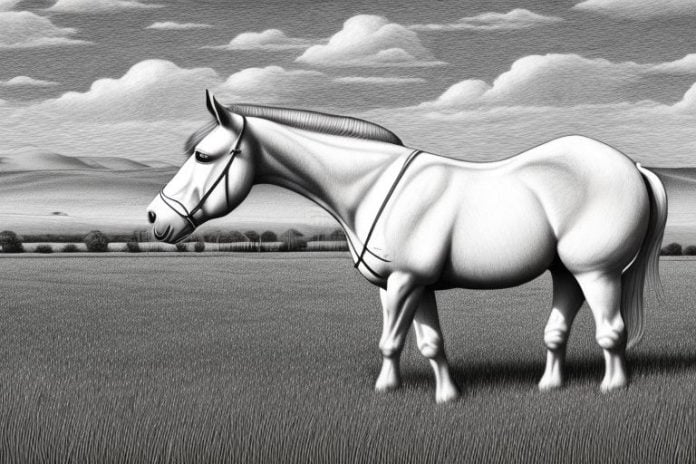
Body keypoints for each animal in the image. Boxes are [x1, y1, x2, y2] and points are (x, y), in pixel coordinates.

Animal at [147, 91, 667, 403]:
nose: (155, 219)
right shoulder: (410, 287)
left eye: (203, 155)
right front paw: (445, 395)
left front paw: (384, 390)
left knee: (612, 332)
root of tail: (633, 166)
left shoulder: (406, 283)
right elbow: (429, 343)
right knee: (558, 331)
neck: (373, 185)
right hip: (566, 273)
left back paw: (613, 387)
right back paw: (549, 385)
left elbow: (391, 340)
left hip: (598, 273)